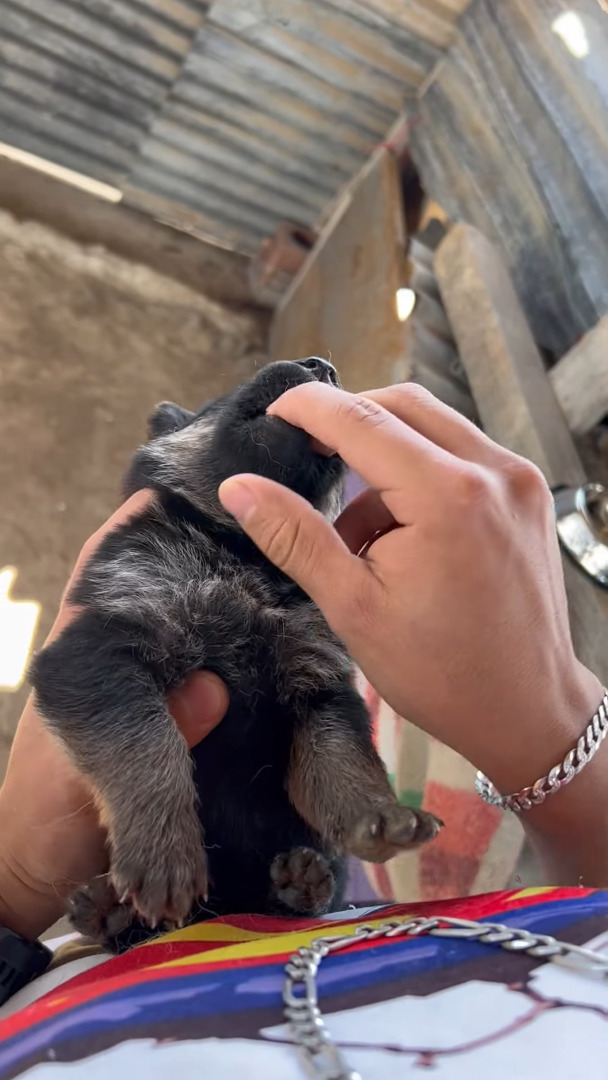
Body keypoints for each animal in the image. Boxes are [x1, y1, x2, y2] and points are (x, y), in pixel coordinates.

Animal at [30, 358, 440, 950]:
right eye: (217, 400)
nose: (322, 365)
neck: (244, 553)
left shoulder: (318, 679)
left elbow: (343, 759)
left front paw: (380, 815)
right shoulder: (97, 647)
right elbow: (146, 740)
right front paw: (162, 849)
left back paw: (302, 885)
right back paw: (109, 911)